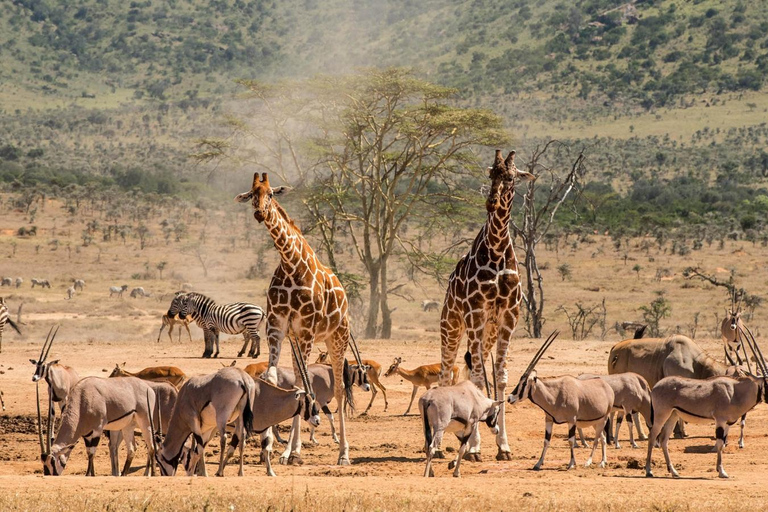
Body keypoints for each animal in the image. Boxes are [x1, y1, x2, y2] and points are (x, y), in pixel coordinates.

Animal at [236, 172, 356, 464]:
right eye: (252, 194)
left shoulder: (306, 331)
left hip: (337, 338)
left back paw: (343, 453)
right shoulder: (277, 328)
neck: (291, 264)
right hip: (298, 341)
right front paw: (272, 446)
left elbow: (303, 383)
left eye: (271, 194)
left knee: (339, 390)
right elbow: (272, 378)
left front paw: (289, 450)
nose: (259, 213)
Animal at [438, 148, 536, 460]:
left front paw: (503, 445)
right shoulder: (476, 313)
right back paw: (439, 445)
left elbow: (501, 377)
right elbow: (480, 378)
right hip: (452, 326)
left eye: (510, 177)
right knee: (446, 371)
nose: (491, 202)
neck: (496, 249)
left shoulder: (509, 317)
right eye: (491, 173)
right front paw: (474, 447)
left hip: (487, 332)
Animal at [508, 332, 616, 472]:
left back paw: (589, 462)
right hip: (595, 422)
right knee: (602, 438)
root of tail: (607, 387)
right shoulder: (549, 420)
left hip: (603, 419)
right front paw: (538, 463)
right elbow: (546, 441)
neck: (555, 395)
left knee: (597, 439)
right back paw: (603, 461)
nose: (510, 398)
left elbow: (571, 441)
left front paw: (571, 463)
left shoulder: (571, 420)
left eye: (525, 383)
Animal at [644, 326, 764, 478]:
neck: (734, 390)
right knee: (652, 436)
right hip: (661, 415)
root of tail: (655, 387)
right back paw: (649, 470)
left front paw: (720, 468)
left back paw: (674, 471)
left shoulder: (727, 422)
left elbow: (723, 442)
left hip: (673, 415)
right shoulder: (720, 420)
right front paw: (722, 471)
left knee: (664, 439)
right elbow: (719, 444)